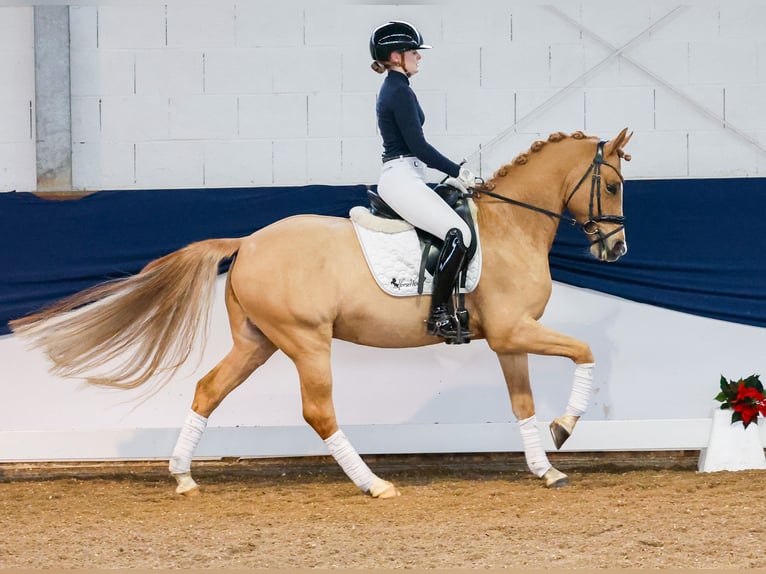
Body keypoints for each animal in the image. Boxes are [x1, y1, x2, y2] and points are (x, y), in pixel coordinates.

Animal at [12, 128, 636, 498]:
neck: (511, 227)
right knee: (318, 411)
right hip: (306, 341)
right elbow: (586, 352)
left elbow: (522, 405)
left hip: (257, 341)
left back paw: (184, 477)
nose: (616, 250)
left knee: (208, 389)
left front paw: (546, 465)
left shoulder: (507, 339)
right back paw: (374, 483)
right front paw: (565, 428)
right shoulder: (514, 331)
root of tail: (248, 242)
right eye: (610, 185)